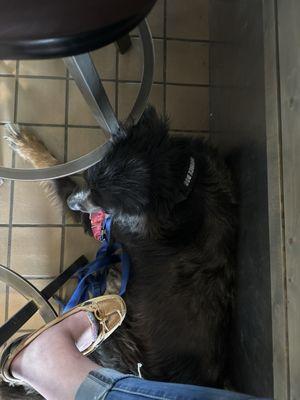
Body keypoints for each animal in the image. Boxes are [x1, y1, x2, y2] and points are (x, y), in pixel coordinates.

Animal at [3, 105, 237, 388]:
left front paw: (26, 144)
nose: (71, 203)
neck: (183, 184)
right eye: (90, 178)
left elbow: (59, 175)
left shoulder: (100, 221)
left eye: (104, 203)